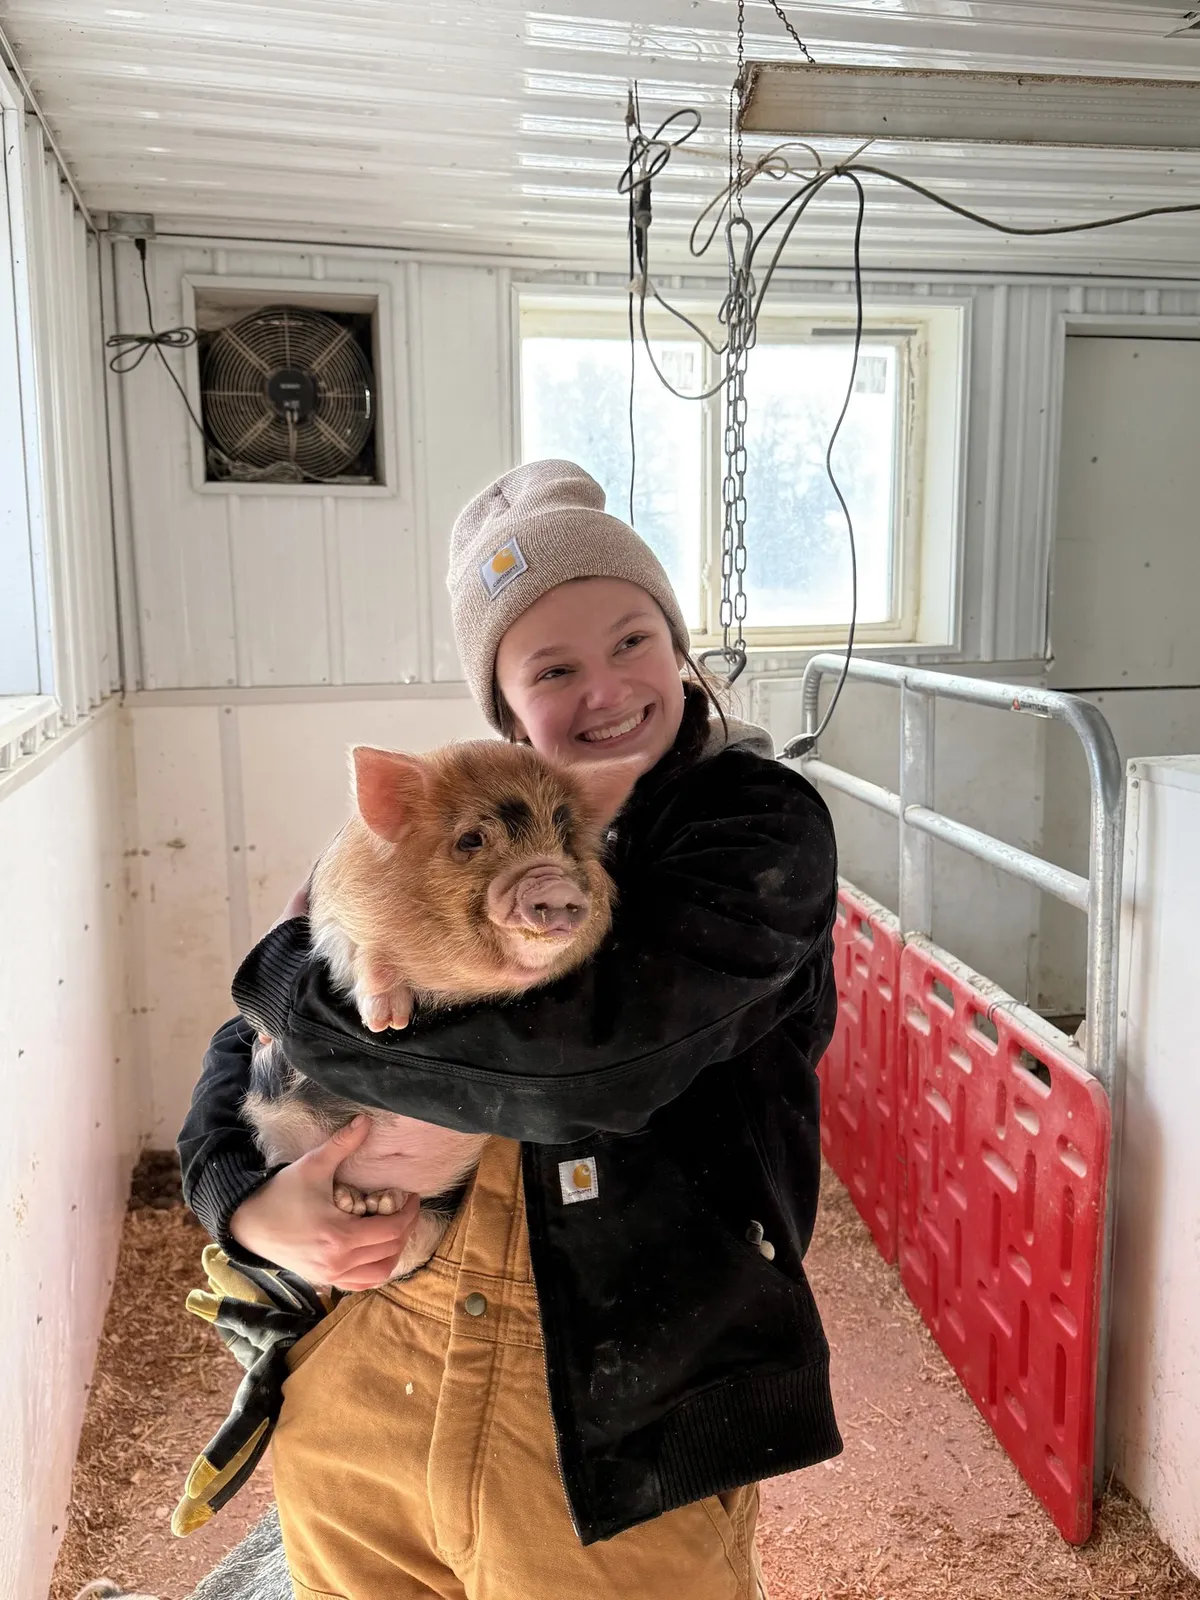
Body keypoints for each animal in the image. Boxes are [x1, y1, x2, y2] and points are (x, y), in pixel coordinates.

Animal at [242, 739, 638, 1282]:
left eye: (568, 840)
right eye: (471, 840)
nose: (554, 884)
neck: (455, 986)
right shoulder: (338, 921)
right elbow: (368, 956)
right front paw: (387, 1022)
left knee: (408, 1242)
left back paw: (378, 1207)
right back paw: (353, 1202)